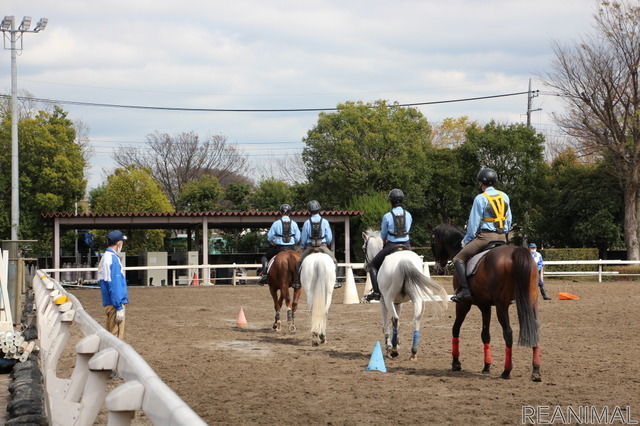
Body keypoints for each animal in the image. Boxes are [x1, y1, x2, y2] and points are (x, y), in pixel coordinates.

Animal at [362, 228, 448, 362]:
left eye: (363, 248)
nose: (365, 266)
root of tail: (403, 261)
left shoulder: (383, 301)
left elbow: (387, 324)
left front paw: (389, 346)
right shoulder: (398, 302)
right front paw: (396, 342)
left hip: (388, 299)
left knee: (395, 319)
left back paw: (394, 350)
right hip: (416, 298)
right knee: (416, 320)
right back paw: (413, 352)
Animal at [430, 225, 540, 382]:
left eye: (432, 242)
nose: (438, 269)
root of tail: (515, 252)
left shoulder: (463, 305)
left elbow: (455, 329)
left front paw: (456, 363)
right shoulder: (485, 306)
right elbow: (485, 334)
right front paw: (487, 366)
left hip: (501, 305)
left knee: (508, 333)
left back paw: (506, 371)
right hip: (531, 301)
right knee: (535, 328)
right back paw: (536, 371)